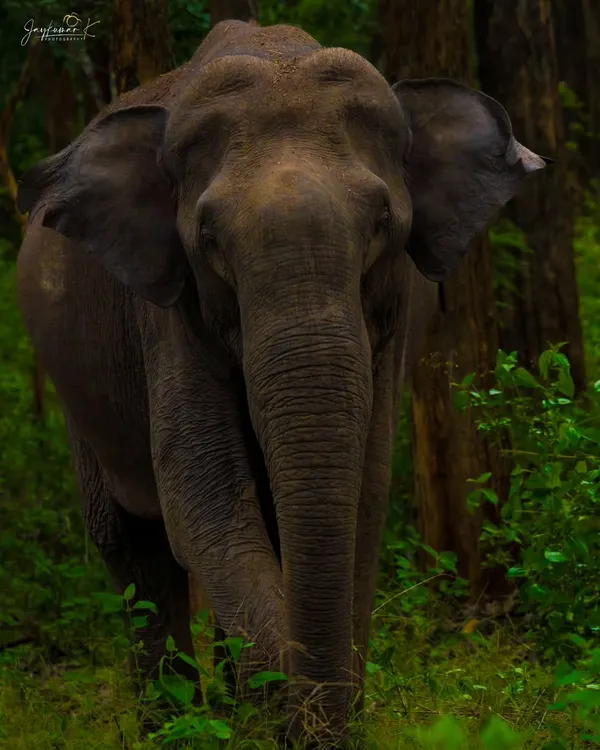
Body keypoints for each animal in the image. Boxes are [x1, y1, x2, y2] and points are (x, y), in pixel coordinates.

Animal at [16, 19, 547, 748]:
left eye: (382, 224)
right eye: (209, 238)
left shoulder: (391, 322)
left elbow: (365, 496)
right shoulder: (168, 314)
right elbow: (201, 496)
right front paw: (278, 709)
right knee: (133, 548)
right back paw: (176, 725)